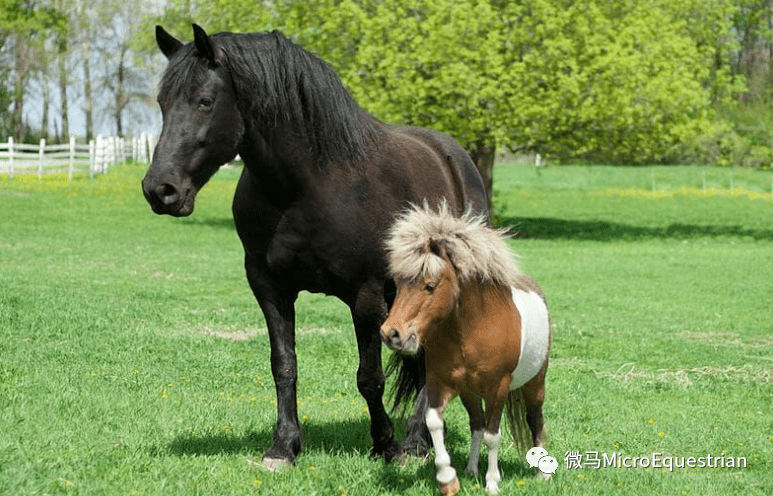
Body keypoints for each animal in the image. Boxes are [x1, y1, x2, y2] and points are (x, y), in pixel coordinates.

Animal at [141, 24, 488, 470]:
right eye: (163, 103)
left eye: (204, 100)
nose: (160, 190)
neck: (304, 185)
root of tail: (456, 158)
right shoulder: (270, 288)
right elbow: (283, 366)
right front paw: (284, 446)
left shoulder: (367, 295)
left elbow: (369, 377)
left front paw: (385, 445)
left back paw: (414, 442)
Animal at [380, 204, 551, 495]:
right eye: (399, 283)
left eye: (430, 286)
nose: (391, 334)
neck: (471, 333)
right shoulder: (442, 384)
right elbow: (434, 422)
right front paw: (448, 478)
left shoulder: (498, 389)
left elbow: (494, 436)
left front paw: (492, 482)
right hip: (469, 393)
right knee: (476, 424)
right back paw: (471, 469)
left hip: (535, 384)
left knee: (534, 419)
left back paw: (542, 474)